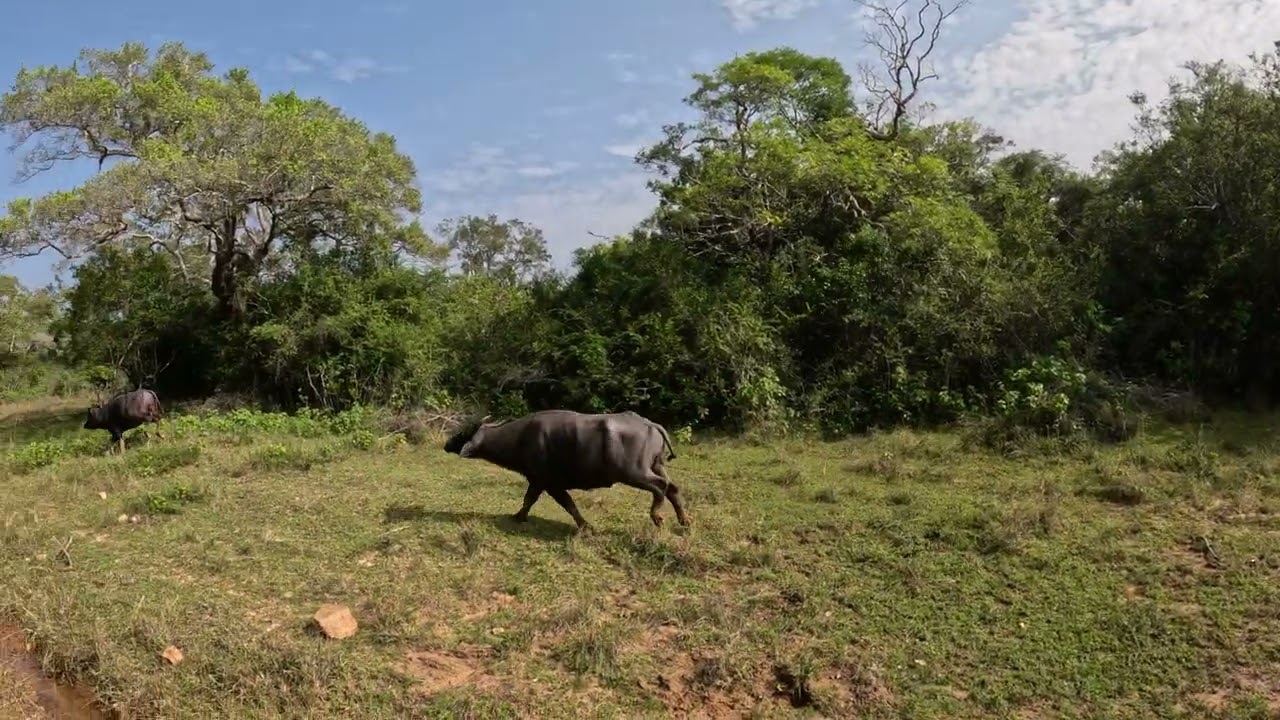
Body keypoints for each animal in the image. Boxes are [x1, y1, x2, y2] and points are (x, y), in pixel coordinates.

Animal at [444, 409, 690, 531]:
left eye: (463, 434)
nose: (446, 444)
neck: (521, 438)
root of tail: (650, 424)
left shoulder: (546, 482)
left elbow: (560, 504)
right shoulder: (541, 482)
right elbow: (536, 500)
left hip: (634, 472)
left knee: (660, 487)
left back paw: (657, 516)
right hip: (657, 465)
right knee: (673, 488)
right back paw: (684, 521)